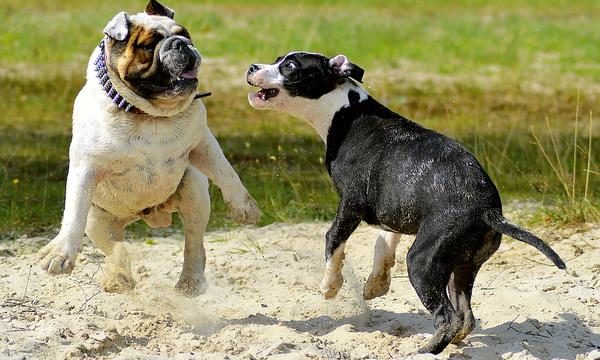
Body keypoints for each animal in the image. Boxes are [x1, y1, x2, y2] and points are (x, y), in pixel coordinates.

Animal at [246, 52, 564, 354]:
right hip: (461, 270)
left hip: (422, 263)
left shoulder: (351, 203)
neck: (344, 111)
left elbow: (333, 240)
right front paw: (376, 283)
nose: (251, 67)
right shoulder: (395, 206)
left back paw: (425, 350)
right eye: (277, 59)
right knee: (465, 317)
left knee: (447, 317)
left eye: (289, 66)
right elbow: (383, 243)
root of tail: (489, 211)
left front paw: (330, 286)